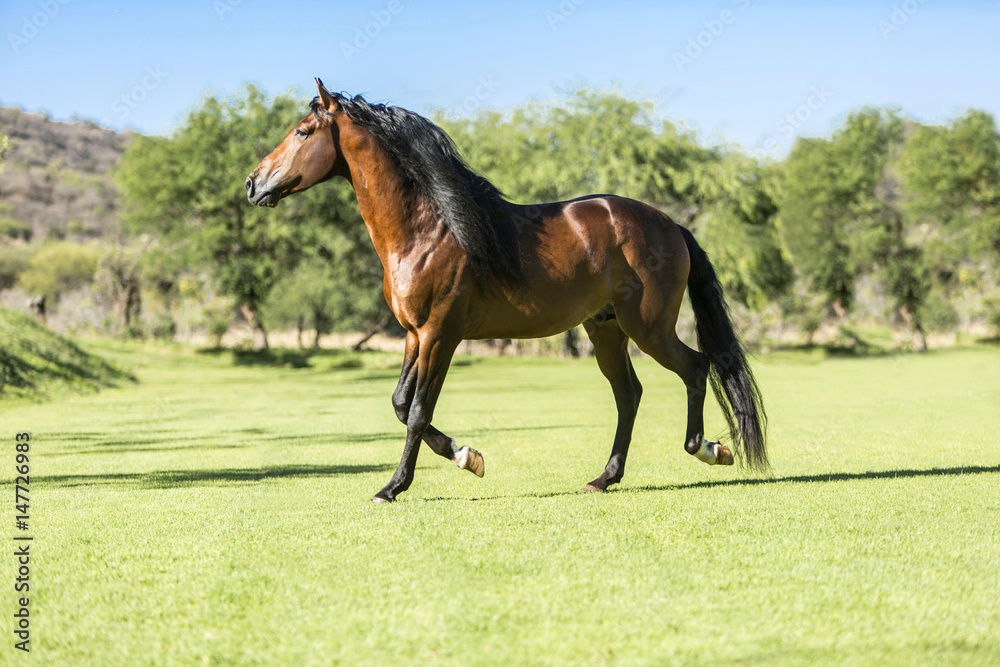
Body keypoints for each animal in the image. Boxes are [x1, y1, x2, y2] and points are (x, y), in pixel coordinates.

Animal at [246, 79, 768, 503]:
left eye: (302, 131)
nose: (253, 184)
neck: (431, 229)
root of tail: (671, 225)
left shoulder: (440, 335)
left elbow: (417, 411)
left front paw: (395, 486)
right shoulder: (415, 335)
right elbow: (399, 404)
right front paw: (466, 455)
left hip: (649, 327)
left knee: (695, 368)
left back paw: (709, 449)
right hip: (605, 330)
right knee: (630, 393)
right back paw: (604, 478)